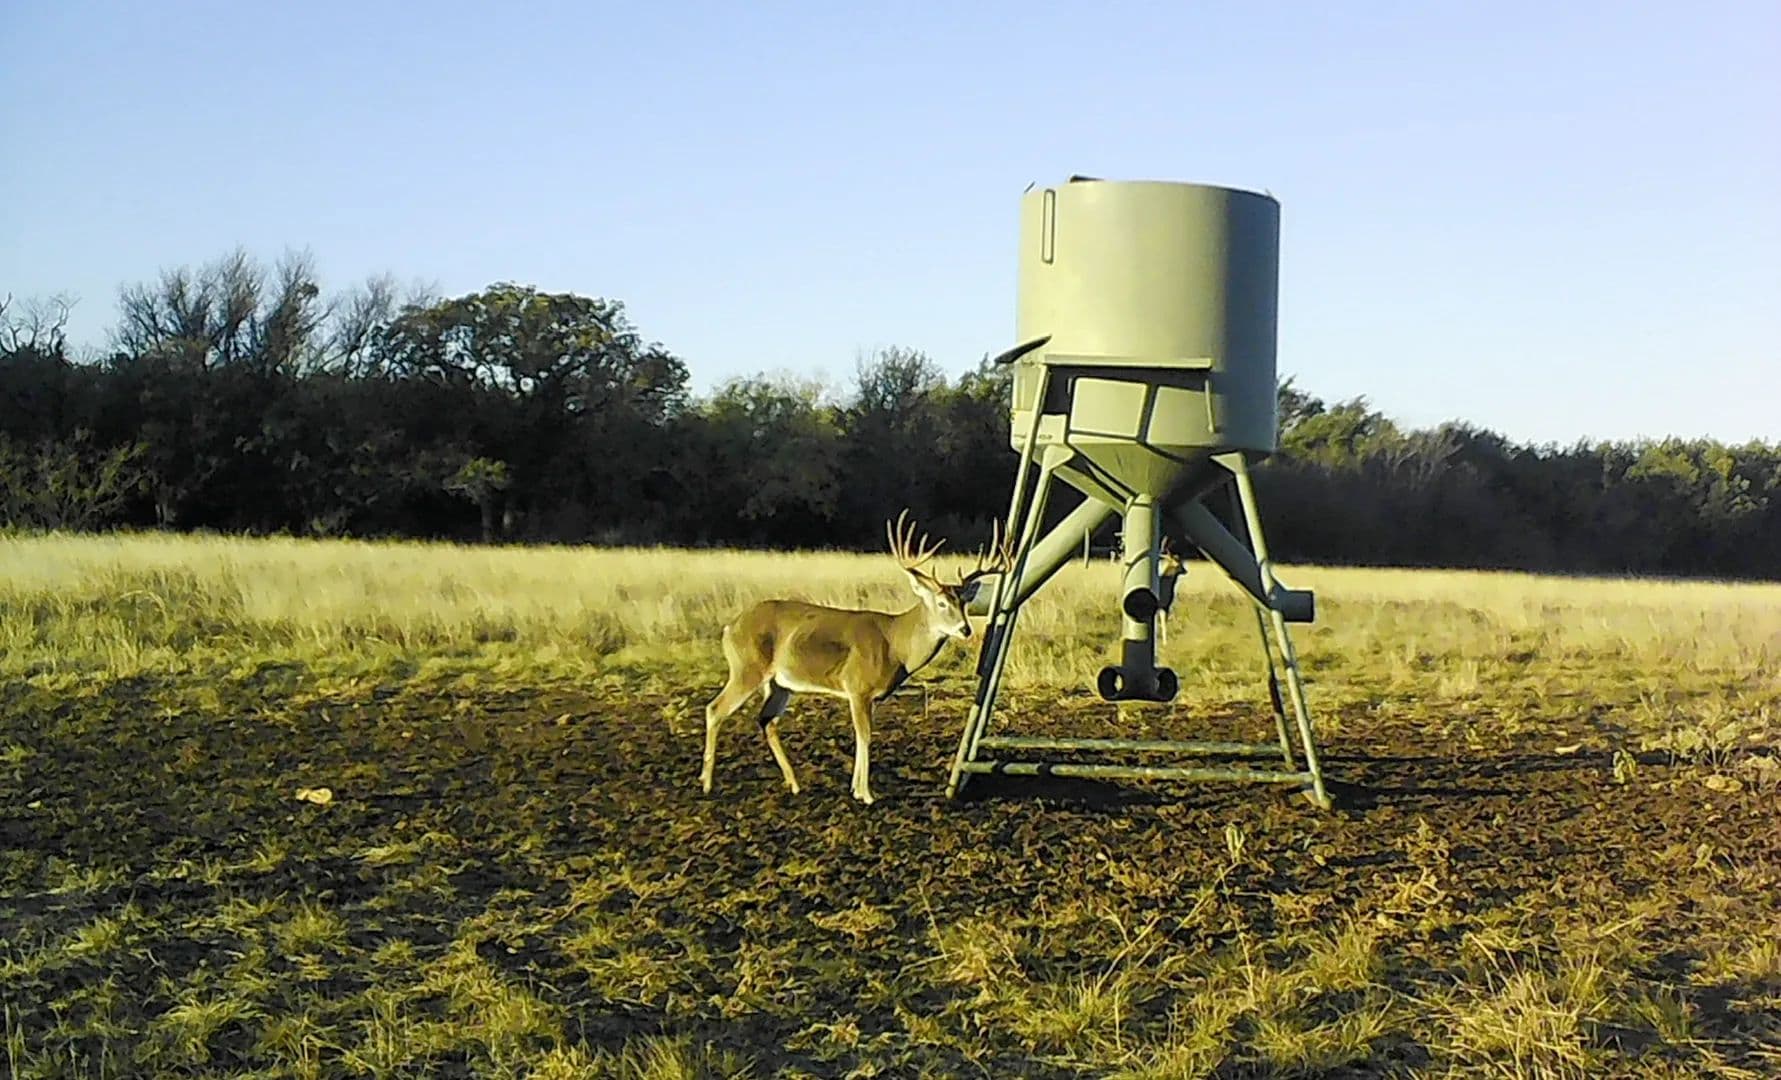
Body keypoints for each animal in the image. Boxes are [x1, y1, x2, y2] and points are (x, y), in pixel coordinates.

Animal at [700, 511, 1012, 804]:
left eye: (965, 603)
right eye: (942, 603)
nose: (965, 629)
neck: (895, 644)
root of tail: (729, 628)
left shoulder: (862, 693)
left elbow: (861, 737)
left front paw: (855, 788)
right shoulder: (858, 687)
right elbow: (865, 736)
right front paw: (866, 793)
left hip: (779, 683)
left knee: (766, 721)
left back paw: (794, 783)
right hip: (747, 668)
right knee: (715, 708)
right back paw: (706, 783)